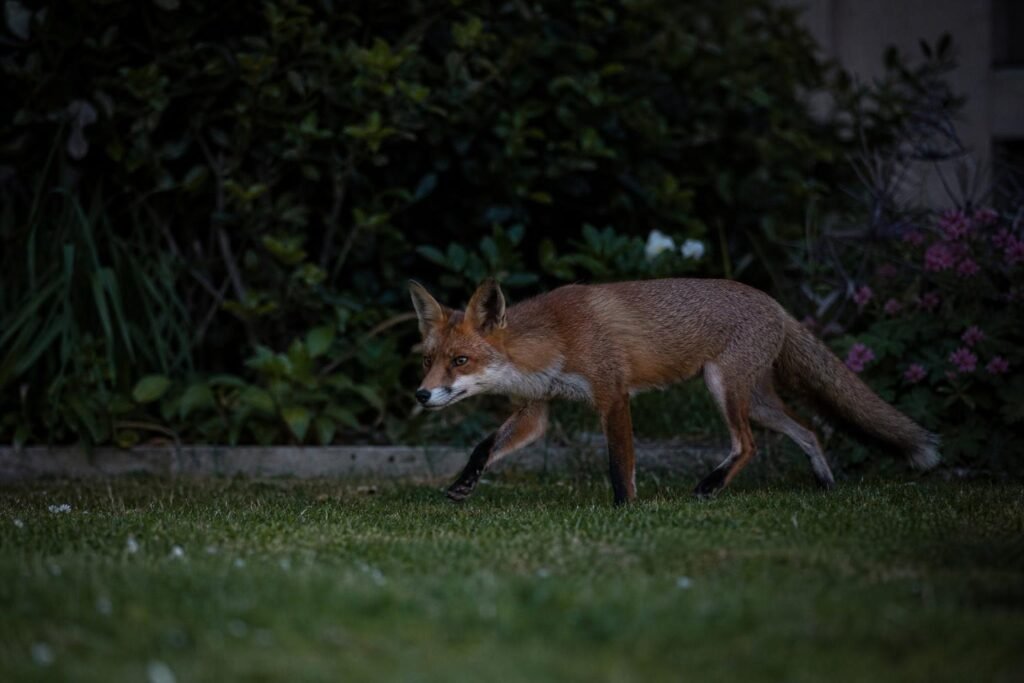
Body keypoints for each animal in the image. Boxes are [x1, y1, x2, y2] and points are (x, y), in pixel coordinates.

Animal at [409, 277, 939, 505]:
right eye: (427, 361)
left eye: (460, 361)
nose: (420, 395)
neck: (554, 338)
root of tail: (776, 304)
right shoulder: (537, 409)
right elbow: (483, 447)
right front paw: (463, 485)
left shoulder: (612, 395)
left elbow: (619, 462)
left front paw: (625, 509)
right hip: (757, 400)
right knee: (807, 429)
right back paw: (825, 483)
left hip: (722, 387)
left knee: (747, 444)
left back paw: (710, 487)